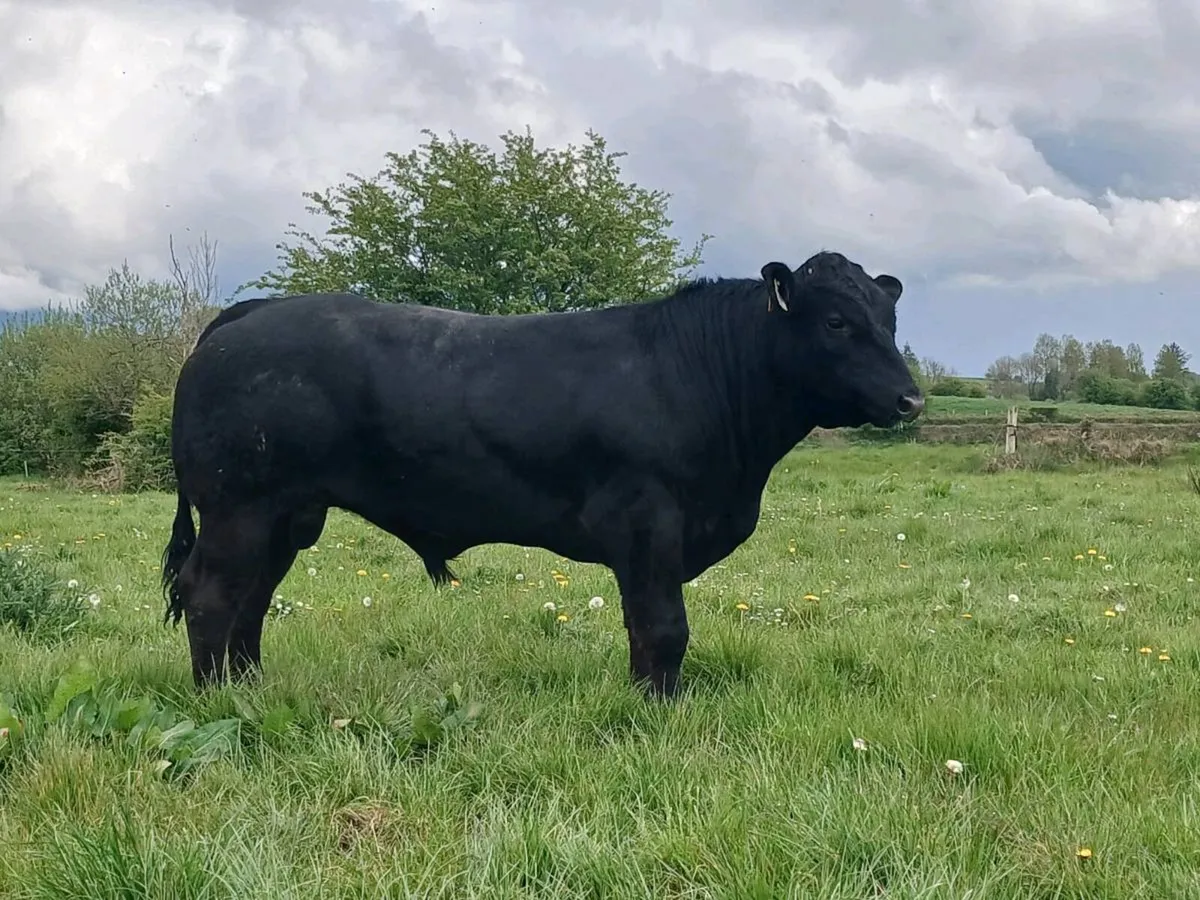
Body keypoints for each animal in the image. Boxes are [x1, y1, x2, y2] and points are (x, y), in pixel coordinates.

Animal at [161, 250, 924, 698]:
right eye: (835, 321)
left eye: (889, 318)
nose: (910, 399)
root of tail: (249, 312)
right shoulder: (648, 521)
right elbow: (663, 627)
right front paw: (660, 709)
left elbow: (647, 628)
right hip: (238, 507)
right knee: (211, 595)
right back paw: (216, 698)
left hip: (287, 516)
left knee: (253, 599)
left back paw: (248, 689)